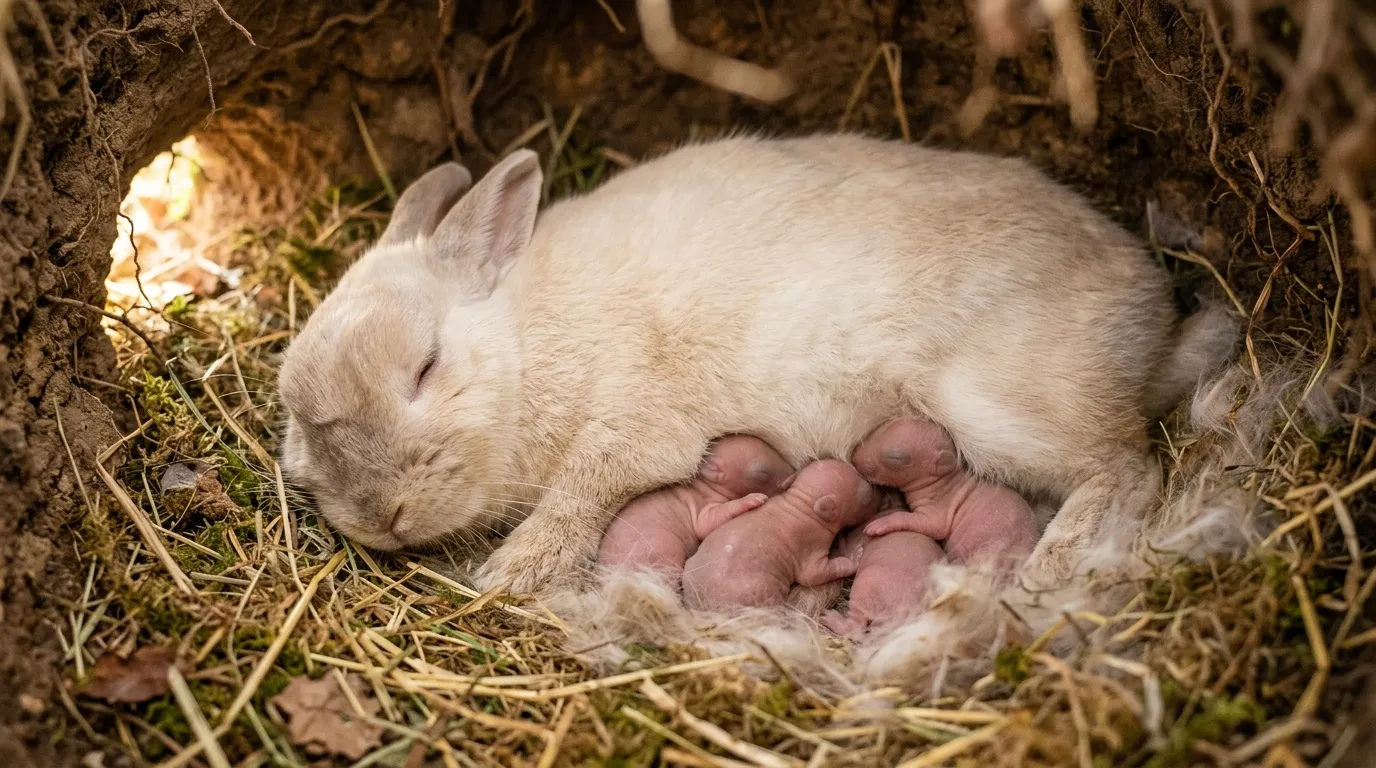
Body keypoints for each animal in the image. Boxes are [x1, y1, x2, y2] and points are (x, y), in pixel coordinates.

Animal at [276, 133, 1238, 597]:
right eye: (296, 426)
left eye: (427, 367)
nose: (381, 518)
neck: (524, 337)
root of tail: (1154, 329)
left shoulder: (637, 426)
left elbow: (585, 490)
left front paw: (513, 572)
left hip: (999, 409)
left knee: (1128, 465)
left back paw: (1052, 564)